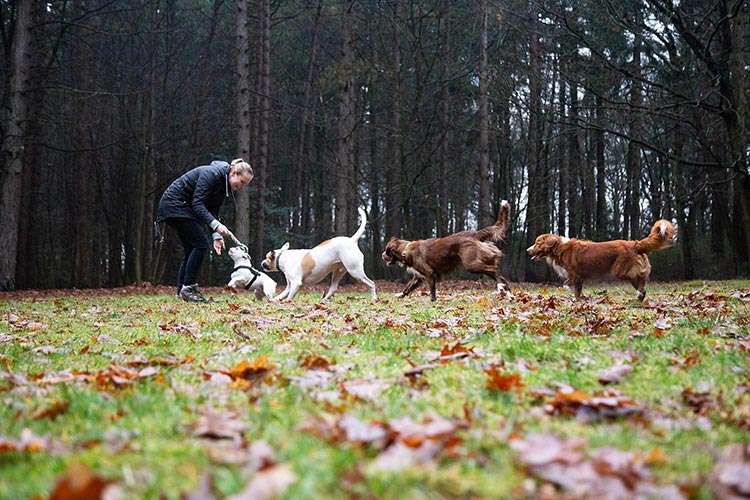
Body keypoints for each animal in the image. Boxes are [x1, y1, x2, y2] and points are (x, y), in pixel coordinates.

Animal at [384, 199, 516, 300]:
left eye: (386, 251)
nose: (382, 255)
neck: (406, 249)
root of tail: (475, 233)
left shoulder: (429, 273)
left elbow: (432, 290)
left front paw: (432, 301)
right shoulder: (418, 277)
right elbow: (408, 286)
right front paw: (400, 295)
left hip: (472, 264)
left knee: (494, 270)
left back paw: (501, 287)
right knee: (499, 275)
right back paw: (508, 294)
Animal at [524, 220, 680, 300]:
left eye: (537, 243)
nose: (527, 250)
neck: (559, 248)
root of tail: (635, 244)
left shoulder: (576, 274)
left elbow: (570, 287)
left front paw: (575, 299)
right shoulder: (575, 275)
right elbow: (571, 287)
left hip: (620, 270)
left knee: (641, 279)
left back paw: (639, 294)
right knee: (642, 285)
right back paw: (640, 296)